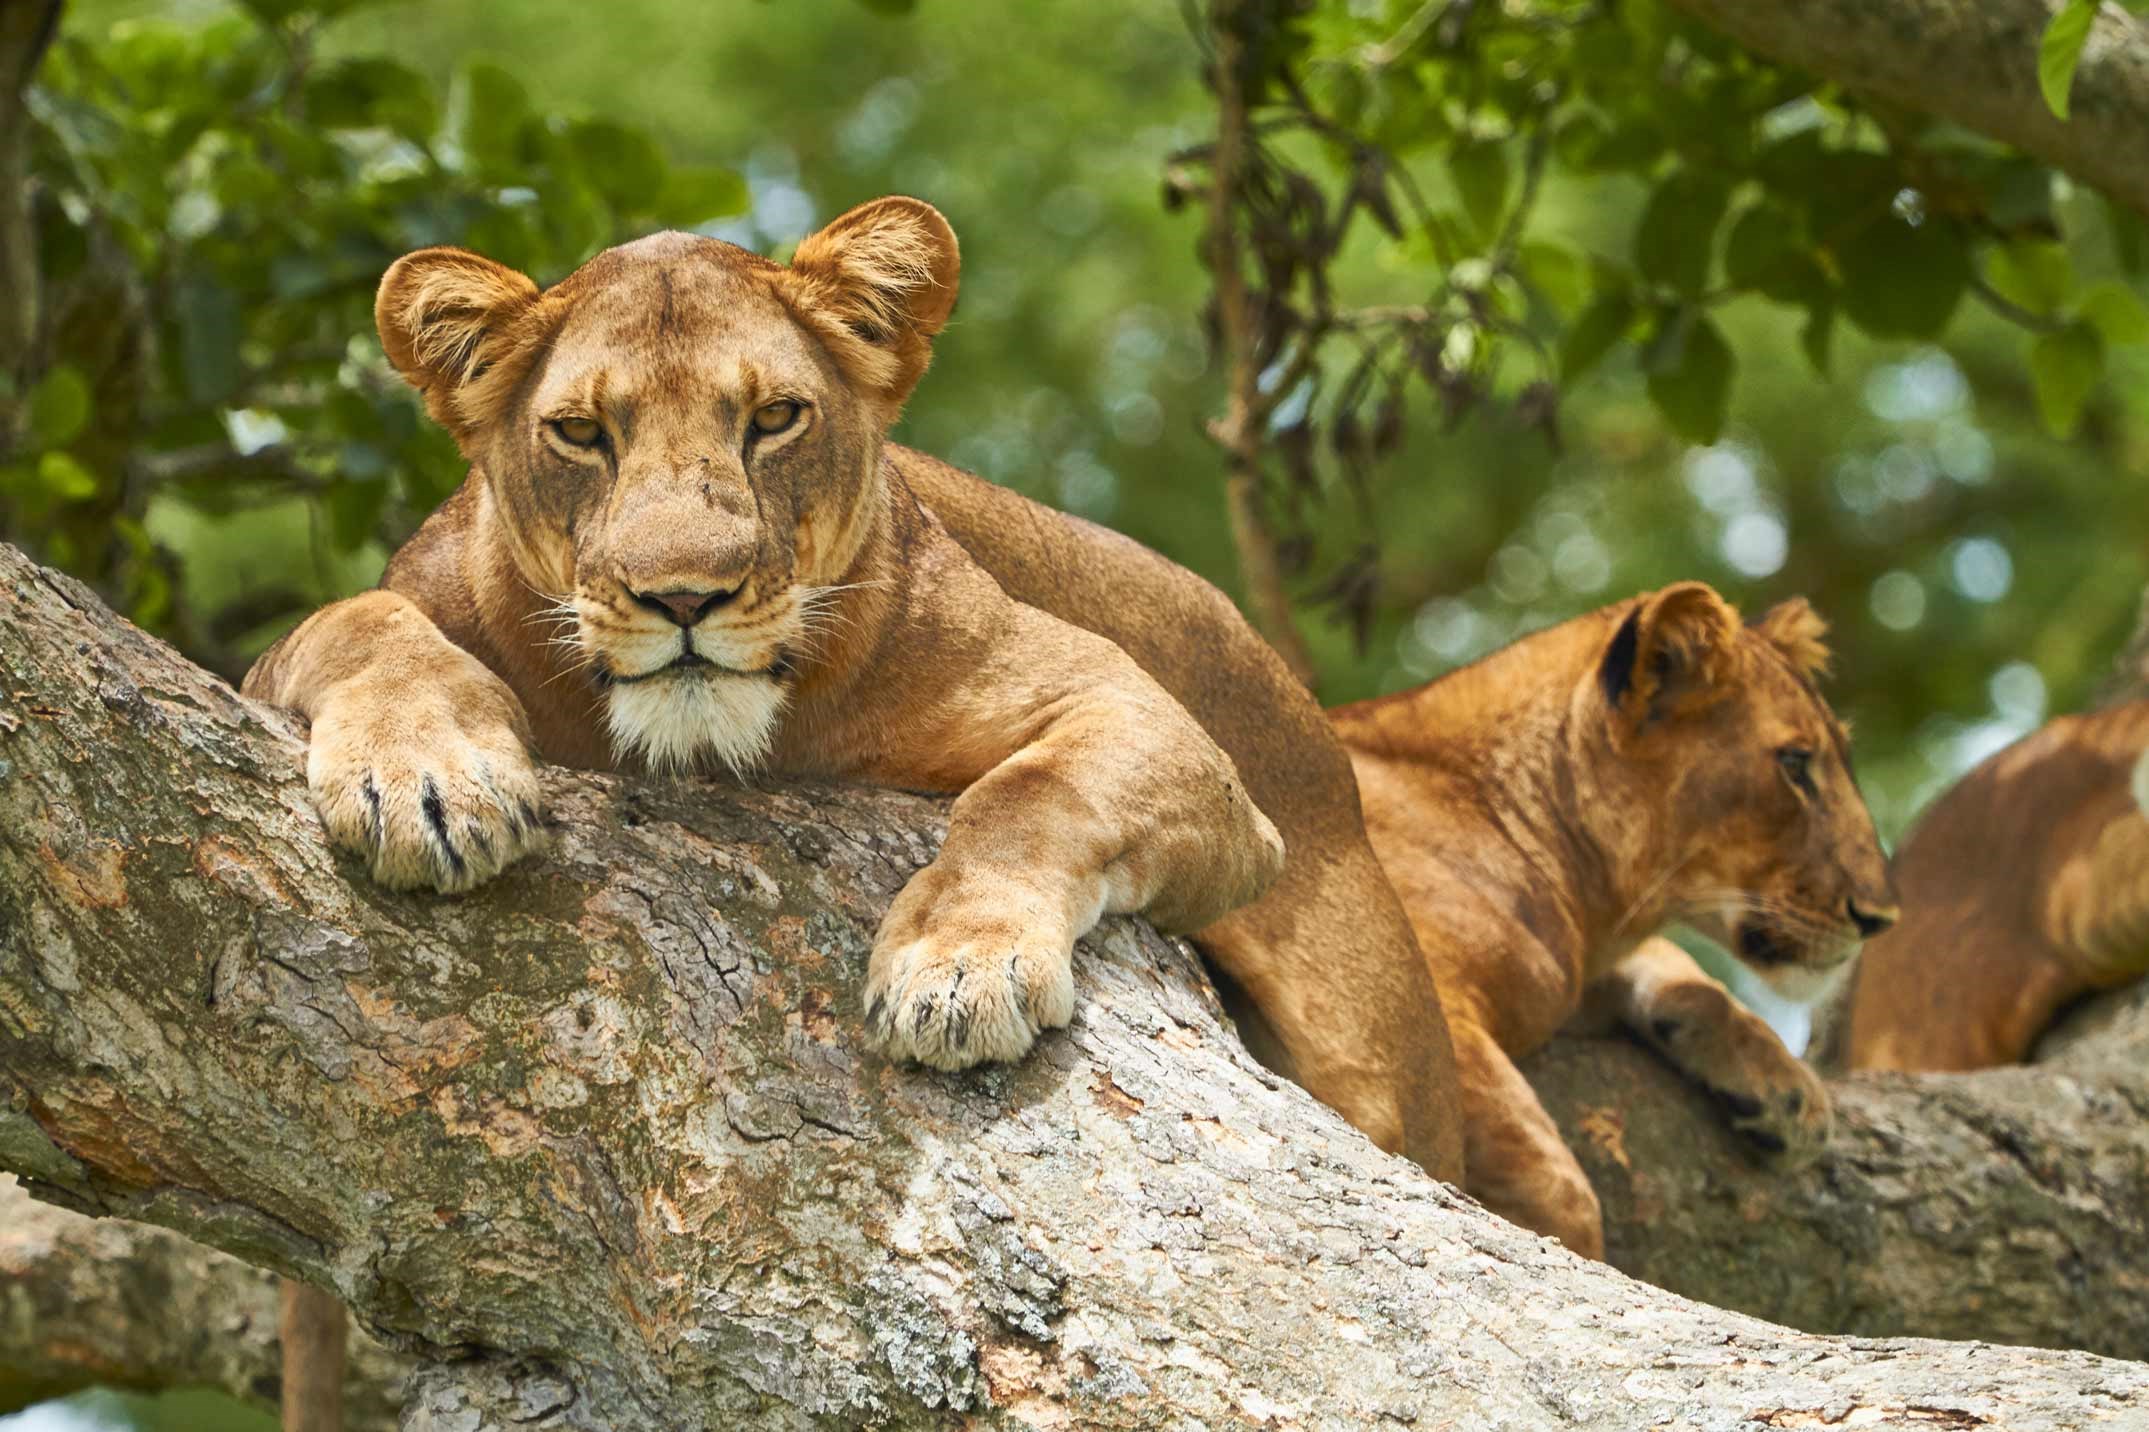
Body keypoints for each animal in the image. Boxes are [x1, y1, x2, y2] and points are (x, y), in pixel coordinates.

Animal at [241, 196, 1466, 1180]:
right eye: (582, 433)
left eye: (774, 418)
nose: (683, 596)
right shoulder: (347, 628)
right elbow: (354, 623)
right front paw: (427, 782)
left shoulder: (1146, 718)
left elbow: (1030, 796)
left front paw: (958, 967)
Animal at [1330, 582, 1898, 1256]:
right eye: (1794, 763)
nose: (1881, 916)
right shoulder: (1422, 990)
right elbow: (1557, 1189)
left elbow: (1677, 966)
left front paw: (1787, 1092)